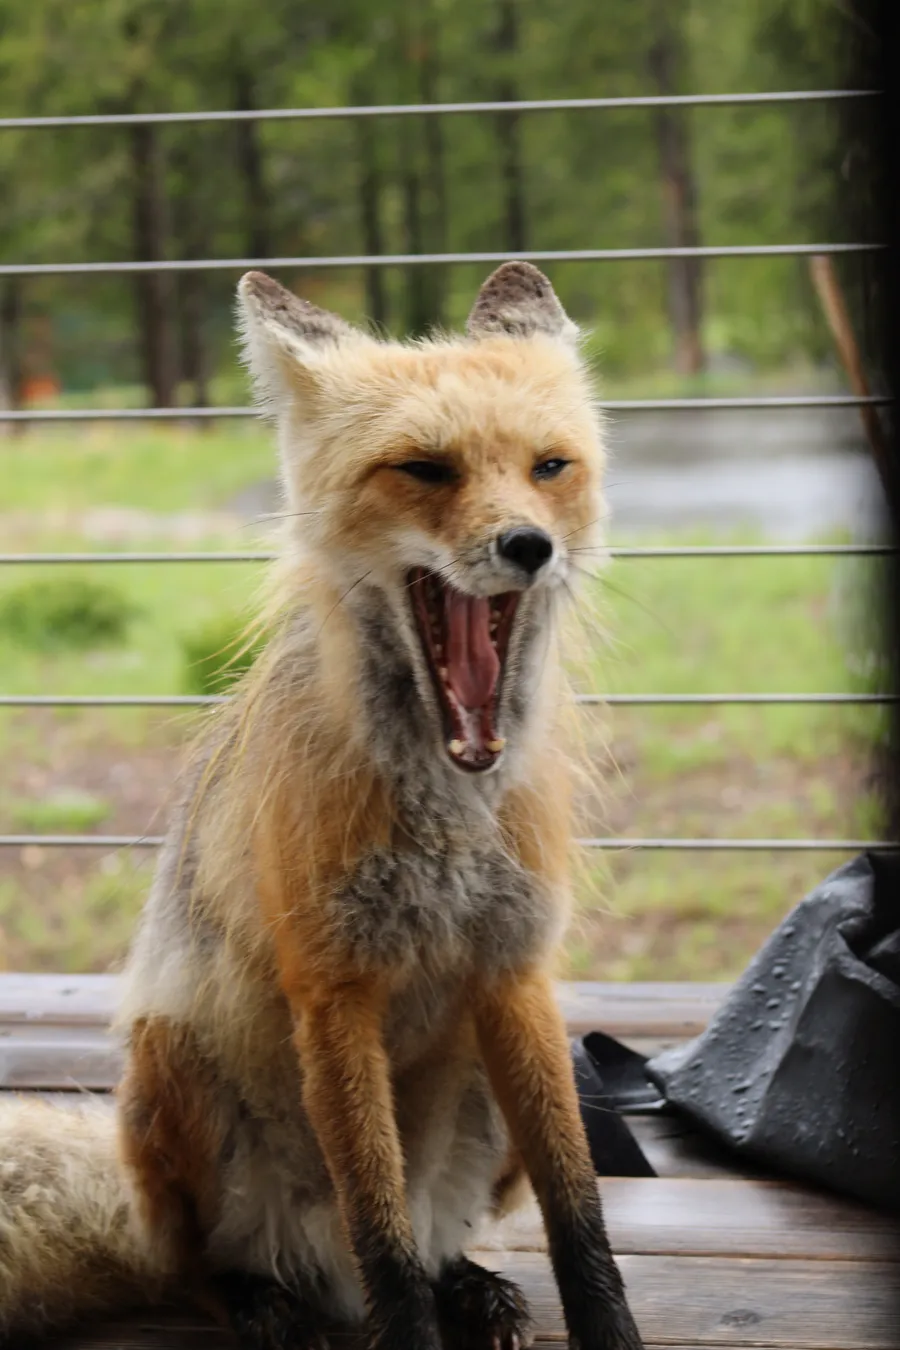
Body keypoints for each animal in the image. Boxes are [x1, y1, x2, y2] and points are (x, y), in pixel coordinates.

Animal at [0, 262, 643, 1350]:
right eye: (426, 469)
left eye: (549, 467)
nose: (529, 546)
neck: (445, 822)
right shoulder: (332, 991)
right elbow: (379, 1234)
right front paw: (407, 1324)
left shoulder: (516, 972)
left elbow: (579, 1214)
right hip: (178, 1071)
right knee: (204, 1267)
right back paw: (262, 1300)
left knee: (433, 1240)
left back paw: (467, 1281)